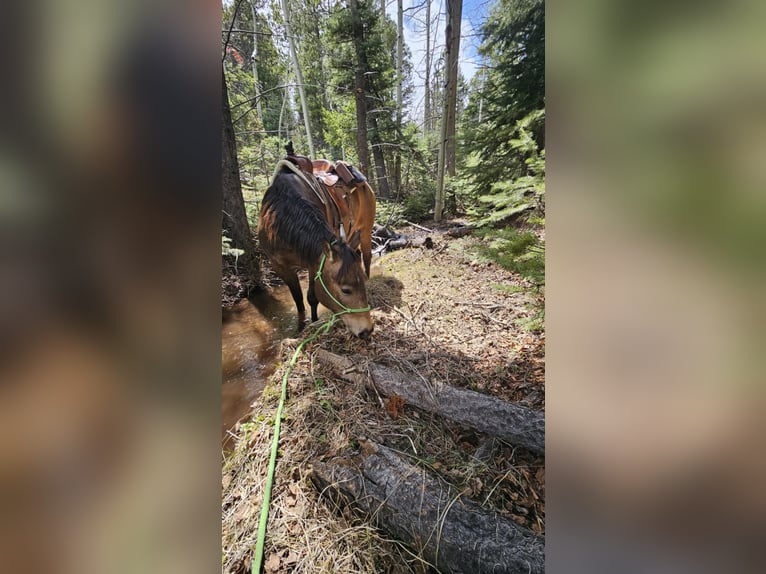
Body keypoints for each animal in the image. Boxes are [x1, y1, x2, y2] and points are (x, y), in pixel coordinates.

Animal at [260, 150, 376, 338]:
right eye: (345, 290)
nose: (367, 330)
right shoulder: (280, 266)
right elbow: (299, 300)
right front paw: (302, 326)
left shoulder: (313, 262)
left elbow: (312, 297)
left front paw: (314, 323)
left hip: (366, 230)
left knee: (367, 257)